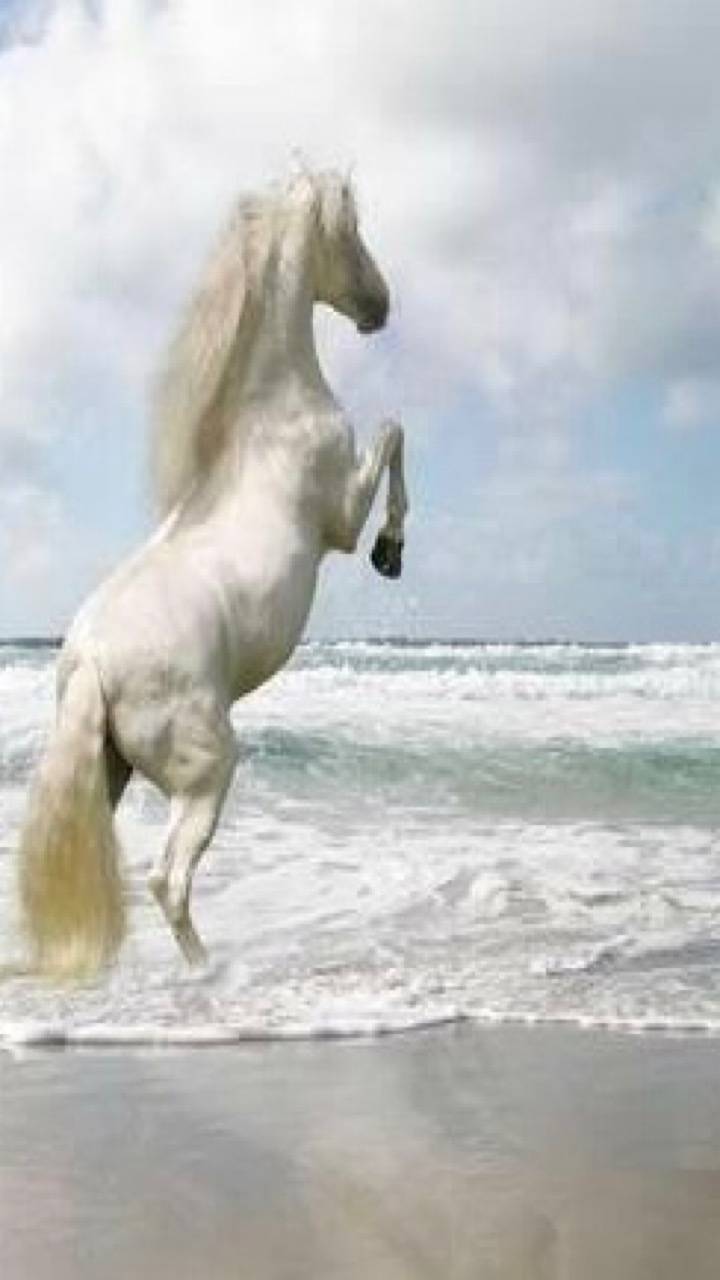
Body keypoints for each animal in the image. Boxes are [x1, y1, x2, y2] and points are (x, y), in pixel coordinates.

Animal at [18, 169, 407, 977]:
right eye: (351, 231)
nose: (380, 307)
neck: (272, 410)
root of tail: (92, 661)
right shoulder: (340, 517)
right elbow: (393, 434)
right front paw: (392, 552)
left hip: (108, 773)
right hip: (206, 771)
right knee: (167, 879)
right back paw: (206, 970)